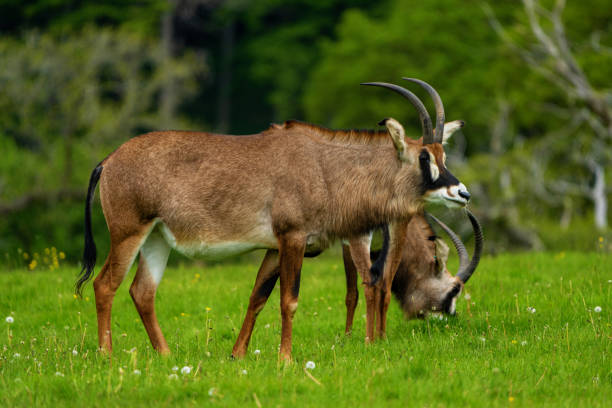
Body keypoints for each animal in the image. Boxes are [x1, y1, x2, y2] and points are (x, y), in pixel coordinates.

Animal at [75, 77, 468, 360]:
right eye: (423, 158)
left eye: (442, 154)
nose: (462, 193)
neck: (325, 168)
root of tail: (108, 161)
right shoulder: (292, 238)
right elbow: (288, 300)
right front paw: (285, 359)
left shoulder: (276, 248)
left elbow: (258, 297)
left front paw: (238, 354)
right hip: (129, 233)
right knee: (105, 285)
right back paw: (107, 355)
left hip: (156, 239)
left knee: (142, 292)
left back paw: (166, 355)